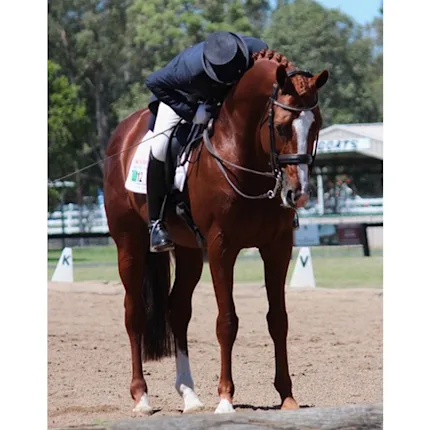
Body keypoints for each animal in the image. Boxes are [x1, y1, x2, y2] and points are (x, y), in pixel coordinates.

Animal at [103, 49, 329, 415]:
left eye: (316, 126)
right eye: (281, 128)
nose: (299, 193)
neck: (243, 154)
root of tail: (122, 134)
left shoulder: (277, 247)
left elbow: (278, 319)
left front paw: (287, 396)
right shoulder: (222, 248)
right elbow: (227, 322)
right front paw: (225, 398)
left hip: (189, 251)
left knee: (177, 310)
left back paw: (190, 396)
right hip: (129, 244)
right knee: (133, 313)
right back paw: (142, 397)